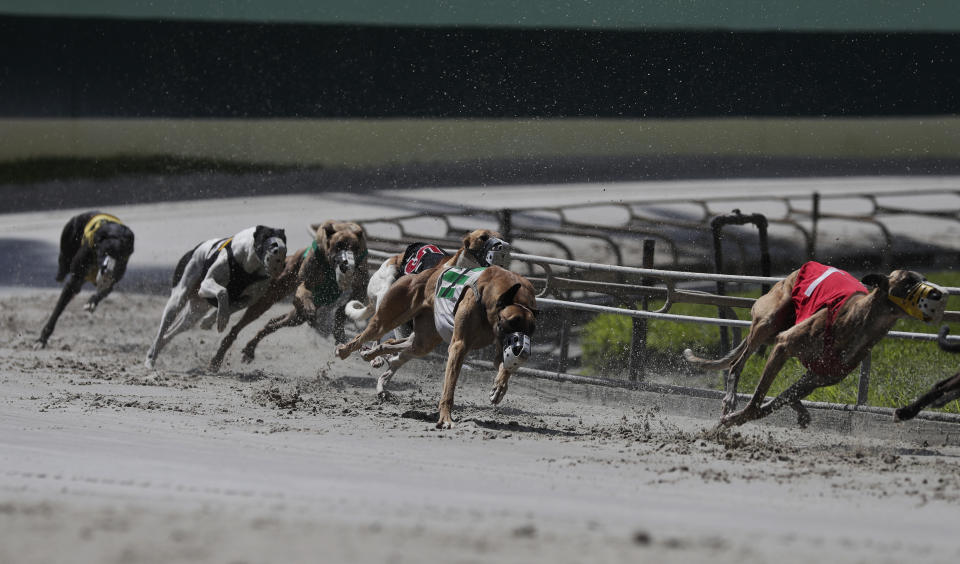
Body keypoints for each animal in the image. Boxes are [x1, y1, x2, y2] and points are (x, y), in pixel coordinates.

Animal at [36, 212, 135, 348]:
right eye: (105, 251)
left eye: (121, 256)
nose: (107, 271)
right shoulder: (74, 280)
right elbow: (58, 309)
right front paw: (42, 338)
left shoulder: (113, 278)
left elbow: (105, 290)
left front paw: (92, 301)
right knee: (62, 269)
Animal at [142, 225, 284, 370]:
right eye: (265, 237)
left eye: (283, 238)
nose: (277, 251)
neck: (248, 266)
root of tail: (192, 251)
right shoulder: (206, 283)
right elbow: (223, 291)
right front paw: (221, 320)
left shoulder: (248, 300)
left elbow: (229, 307)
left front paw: (210, 321)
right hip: (178, 299)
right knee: (162, 331)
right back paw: (150, 359)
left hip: (194, 313)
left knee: (170, 332)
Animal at [219, 218, 370, 368]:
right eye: (338, 245)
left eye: (355, 247)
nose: (346, 263)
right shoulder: (307, 281)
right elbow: (305, 292)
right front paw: (309, 307)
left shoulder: (360, 288)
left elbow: (343, 309)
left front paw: (339, 331)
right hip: (268, 299)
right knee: (238, 327)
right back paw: (219, 357)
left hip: (296, 318)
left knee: (273, 324)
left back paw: (250, 348)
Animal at [336, 264, 532, 428]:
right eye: (512, 322)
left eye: (532, 329)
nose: (521, 349)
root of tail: (415, 275)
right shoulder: (459, 346)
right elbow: (449, 388)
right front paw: (445, 418)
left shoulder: (499, 349)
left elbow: (503, 366)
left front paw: (498, 389)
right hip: (386, 320)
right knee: (363, 336)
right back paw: (343, 350)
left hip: (424, 341)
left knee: (392, 344)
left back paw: (371, 357)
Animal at [684, 262, 944, 430]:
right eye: (909, 281)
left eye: (923, 278)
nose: (938, 294)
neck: (858, 320)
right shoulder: (783, 346)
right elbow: (758, 398)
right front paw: (729, 421)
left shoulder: (817, 378)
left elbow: (773, 402)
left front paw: (734, 421)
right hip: (770, 321)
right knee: (737, 363)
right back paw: (730, 399)